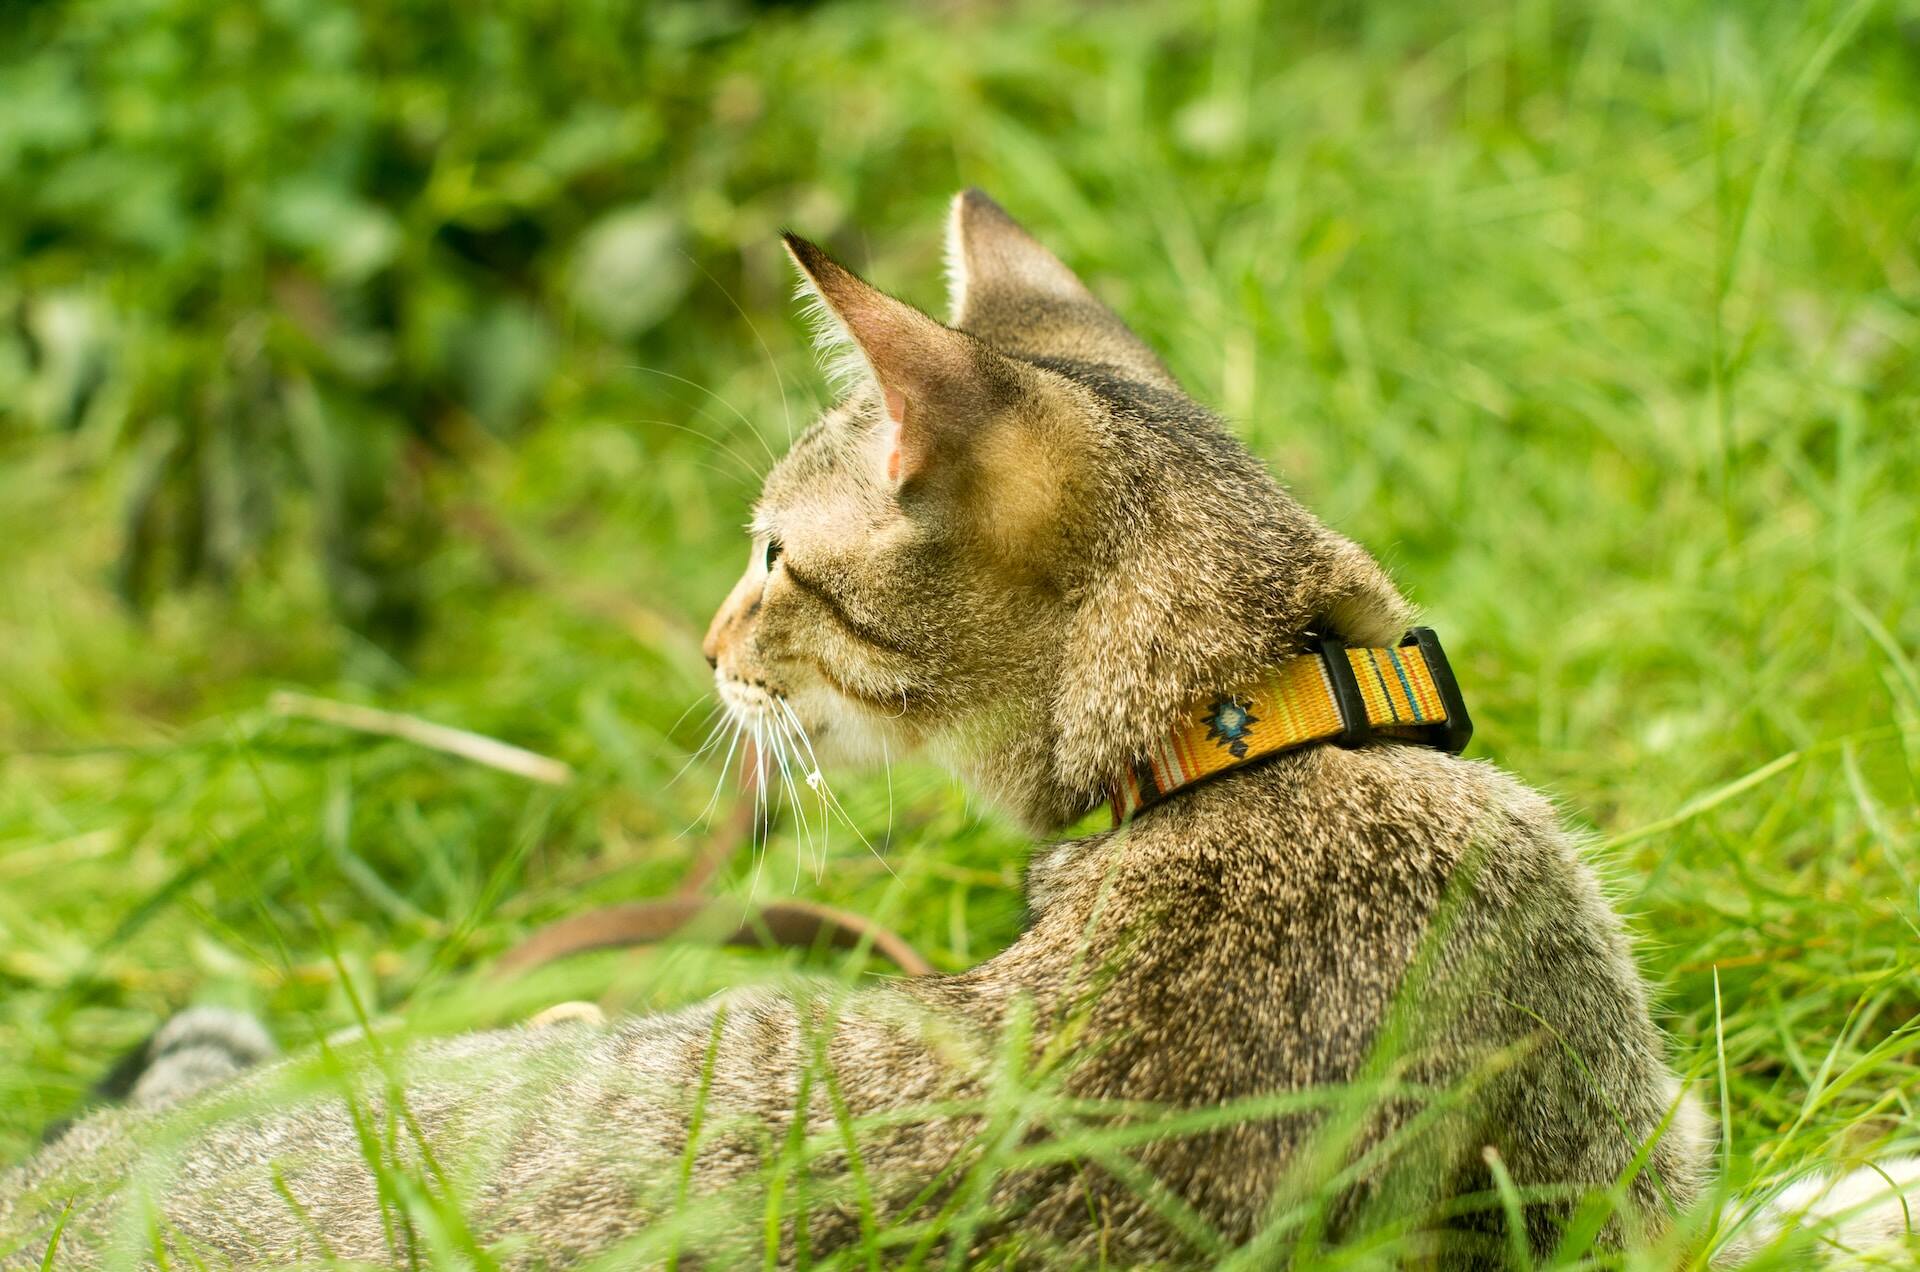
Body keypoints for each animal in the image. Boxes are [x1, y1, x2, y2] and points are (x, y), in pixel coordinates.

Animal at [7, 192, 1912, 1272]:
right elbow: (1791, 1202)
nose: (710, 641)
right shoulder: (1633, 1185)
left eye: (776, 556)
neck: (1253, 735)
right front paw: (1875, 1188)